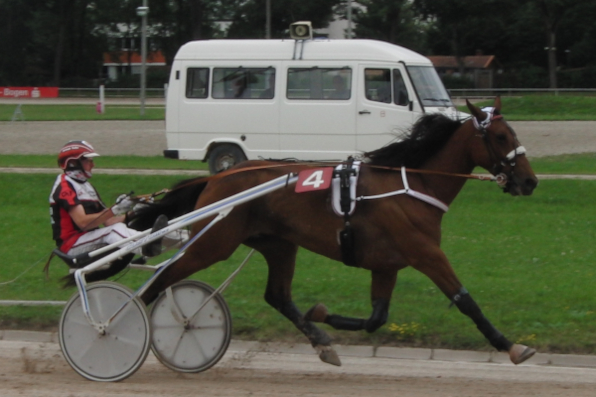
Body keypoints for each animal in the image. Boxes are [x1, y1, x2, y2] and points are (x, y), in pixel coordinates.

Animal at [130, 98, 540, 366]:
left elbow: (377, 318)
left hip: (279, 245)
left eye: (512, 133)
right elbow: (466, 301)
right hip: (214, 243)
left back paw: (321, 342)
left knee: (278, 296)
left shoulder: (387, 264)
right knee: (160, 280)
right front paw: (511, 346)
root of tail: (217, 178)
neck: (413, 185)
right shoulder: (425, 253)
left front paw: (322, 313)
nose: (529, 181)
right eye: (501, 137)